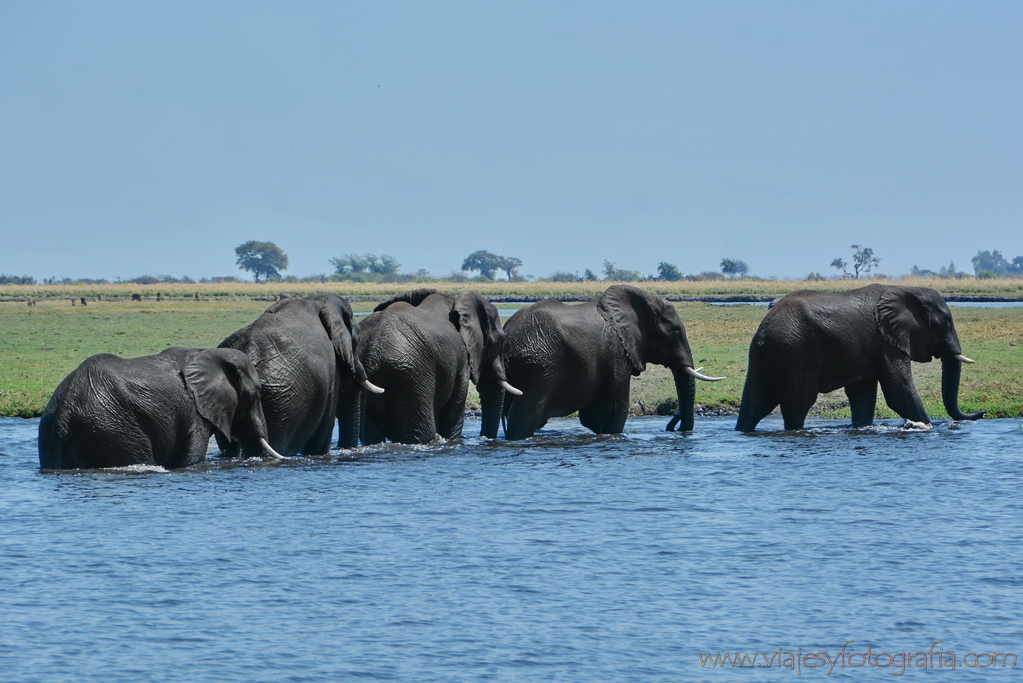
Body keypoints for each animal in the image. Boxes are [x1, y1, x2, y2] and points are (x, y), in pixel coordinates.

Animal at [345, 286, 519, 443]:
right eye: (499, 342)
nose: (484, 438)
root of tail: (372, 351)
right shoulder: (461, 361)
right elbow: (451, 418)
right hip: (411, 377)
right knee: (421, 434)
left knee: (372, 435)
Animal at [480, 284, 728, 439]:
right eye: (675, 333)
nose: (675, 420)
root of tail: (509, 336)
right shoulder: (616, 352)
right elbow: (615, 409)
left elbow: (592, 416)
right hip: (539, 367)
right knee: (523, 417)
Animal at [736, 284, 982, 431]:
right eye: (946, 324)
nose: (981, 413)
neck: (908, 290)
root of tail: (763, 333)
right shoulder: (885, 341)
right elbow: (898, 390)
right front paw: (926, 427)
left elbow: (862, 395)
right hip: (794, 353)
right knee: (798, 405)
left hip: (764, 357)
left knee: (754, 405)